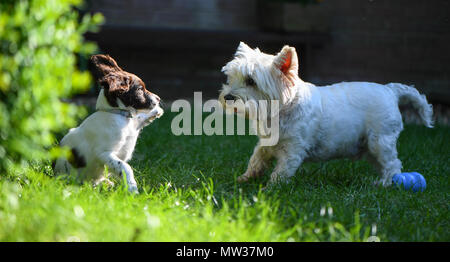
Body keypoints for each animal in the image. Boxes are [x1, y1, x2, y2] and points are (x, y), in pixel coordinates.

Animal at [54, 54, 163, 192]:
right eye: (140, 89)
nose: (158, 98)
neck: (118, 115)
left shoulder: (132, 126)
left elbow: (138, 117)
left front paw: (157, 110)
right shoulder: (104, 153)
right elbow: (125, 167)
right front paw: (132, 188)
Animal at [220, 42, 434, 187]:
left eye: (251, 81)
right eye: (231, 78)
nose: (228, 97)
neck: (281, 110)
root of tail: (390, 90)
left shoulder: (293, 150)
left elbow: (281, 171)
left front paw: (270, 189)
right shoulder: (265, 144)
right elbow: (256, 159)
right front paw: (245, 178)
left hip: (380, 140)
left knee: (392, 164)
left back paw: (385, 184)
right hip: (368, 146)